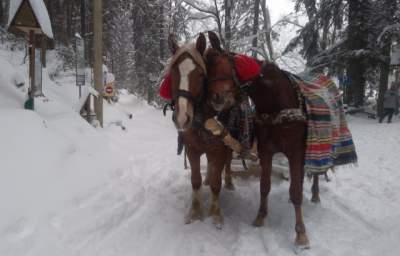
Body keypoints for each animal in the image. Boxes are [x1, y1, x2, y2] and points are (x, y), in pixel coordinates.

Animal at [166, 33, 234, 227]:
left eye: (200, 74)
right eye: (173, 72)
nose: (182, 118)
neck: (203, 119)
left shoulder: (219, 150)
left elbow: (217, 184)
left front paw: (216, 214)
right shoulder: (192, 149)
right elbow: (195, 181)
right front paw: (195, 212)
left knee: (226, 165)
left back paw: (229, 182)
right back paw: (207, 179)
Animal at [205, 31, 310, 248]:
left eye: (221, 64)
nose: (215, 99)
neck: (277, 105)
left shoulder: (296, 152)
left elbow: (296, 191)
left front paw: (301, 233)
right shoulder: (266, 151)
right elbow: (265, 185)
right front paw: (260, 217)